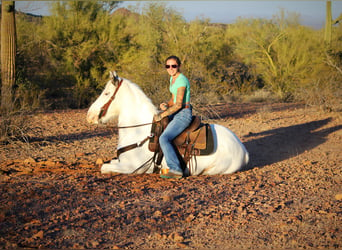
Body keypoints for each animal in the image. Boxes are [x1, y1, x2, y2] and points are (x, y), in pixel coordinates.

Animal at [87, 71, 248, 175]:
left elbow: (104, 168)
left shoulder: (132, 167)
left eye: (106, 93)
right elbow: (108, 163)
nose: (89, 115)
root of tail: (242, 149)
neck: (140, 132)